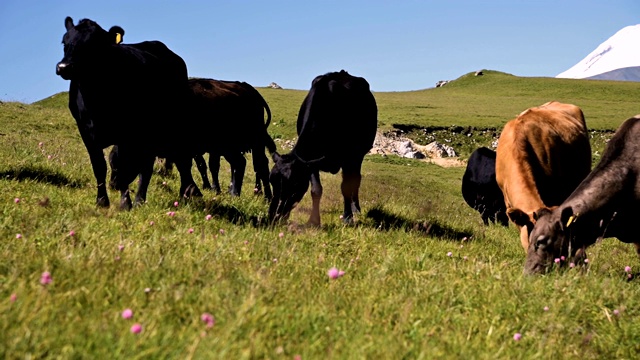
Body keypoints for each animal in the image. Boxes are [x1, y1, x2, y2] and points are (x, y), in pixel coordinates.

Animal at [57, 16, 204, 208]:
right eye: (64, 42)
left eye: (93, 43)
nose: (64, 66)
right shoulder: (86, 131)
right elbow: (99, 166)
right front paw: (102, 201)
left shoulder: (126, 132)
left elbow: (123, 164)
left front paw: (125, 203)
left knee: (165, 162)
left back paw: (150, 198)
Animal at [268, 70, 378, 225]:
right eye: (272, 182)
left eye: (294, 185)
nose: (274, 216)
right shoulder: (311, 160)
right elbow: (316, 190)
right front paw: (313, 221)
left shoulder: (348, 157)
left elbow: (346, 187)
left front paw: (348, 217)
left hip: (359, 155)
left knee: (356, 179)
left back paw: (355, 208)